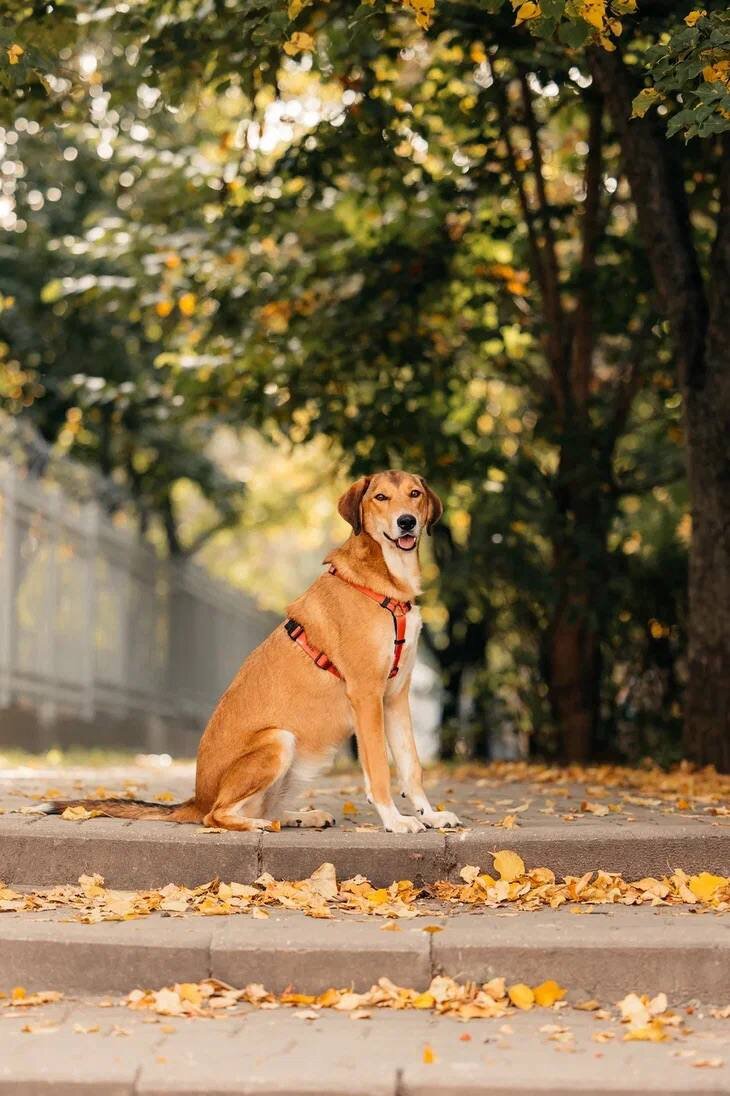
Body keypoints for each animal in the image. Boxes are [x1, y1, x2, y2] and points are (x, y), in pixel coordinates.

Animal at [46, 466, 460, 832]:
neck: (385, 583)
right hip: (278, 740)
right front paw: (396, 821)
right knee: (217, 816)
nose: (406, 522)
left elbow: (411, 766)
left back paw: (299, 816)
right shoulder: (366, 695)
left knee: (262, 807)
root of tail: (196, 798)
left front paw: (430, 815)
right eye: (380, 497)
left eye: (415, 494)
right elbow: (378, 770)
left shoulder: (395, 698)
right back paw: (258, 824)